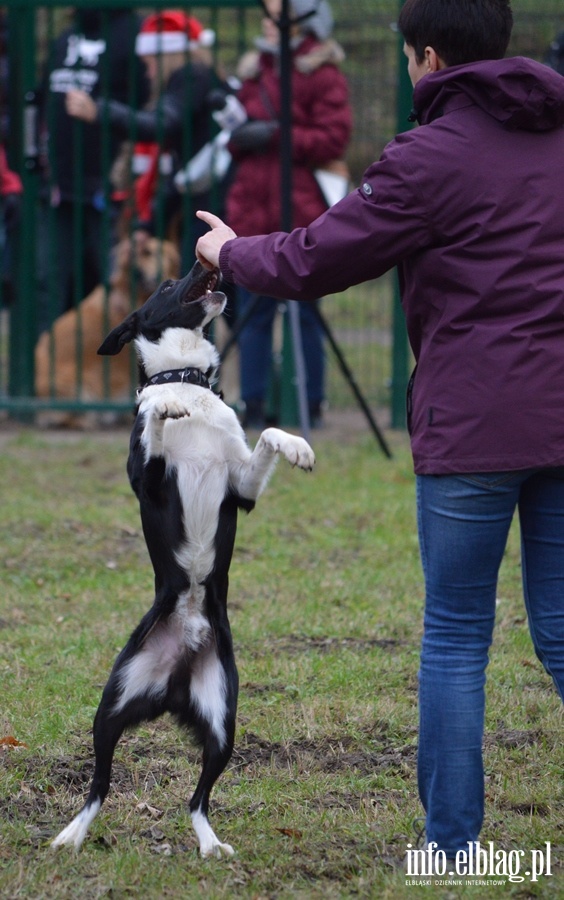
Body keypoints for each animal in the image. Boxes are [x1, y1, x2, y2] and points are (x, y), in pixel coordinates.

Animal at [51, 260, 318, 856]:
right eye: (167, 286)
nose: (199, 262)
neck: (185, 378)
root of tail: (174, 676)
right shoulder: (148, 479)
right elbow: (154, 419)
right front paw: (160, 407)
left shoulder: (241, 487)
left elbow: (267, 433)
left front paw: (297, 446)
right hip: (111, 705)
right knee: (99, 784)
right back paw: (71, 835)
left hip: (222, 720)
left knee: (197, 798)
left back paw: (210, 843)